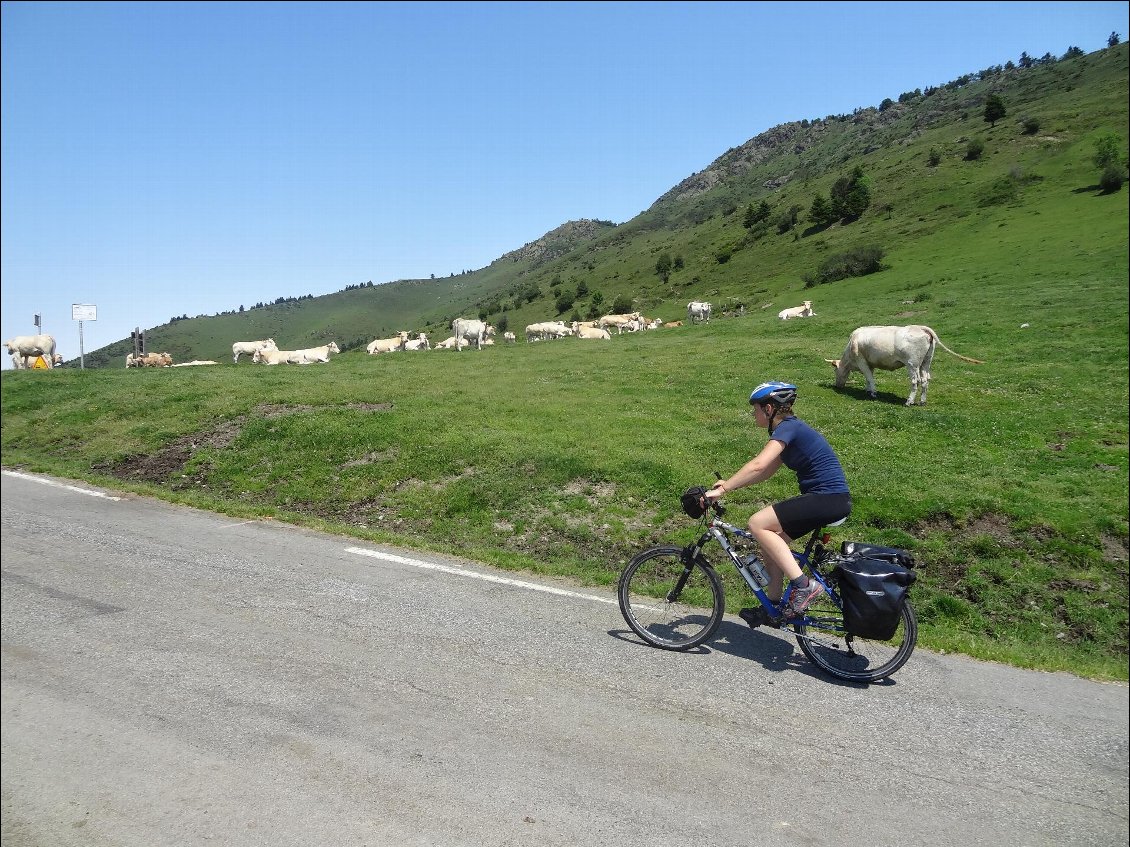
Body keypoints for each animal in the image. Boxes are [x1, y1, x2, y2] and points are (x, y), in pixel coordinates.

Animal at [827, 322, 985, 406]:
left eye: (835, 371)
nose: (837, 386)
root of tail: (921, 327)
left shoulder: (862, 361)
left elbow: (870, 378)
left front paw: (873, 393)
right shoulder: (869, 363)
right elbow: (868, 378)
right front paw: (868, 390)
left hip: (912, 364)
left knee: (916, 381)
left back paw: (909, 401)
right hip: (926, 362)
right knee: (925, 380)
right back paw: (922, 401)